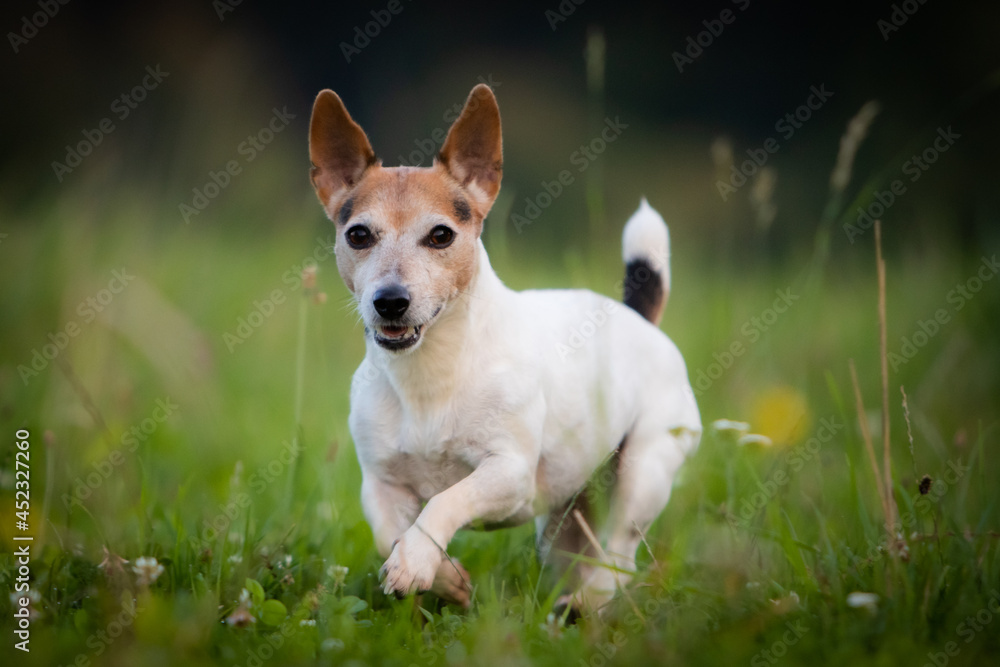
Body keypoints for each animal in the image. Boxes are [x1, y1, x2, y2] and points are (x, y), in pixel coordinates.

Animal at [308, 83, 700, 616]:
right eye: (359, 235)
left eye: (440, 235)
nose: (389, 301)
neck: (430, 371)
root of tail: (637, 316)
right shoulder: (382, 487)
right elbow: (391, 533)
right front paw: (442, 575)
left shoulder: (508, 474)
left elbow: (446, 500)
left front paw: (416, 561)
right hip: (564, 519)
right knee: (580, 553)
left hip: (644, 472)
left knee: (619, 554)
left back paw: (585, 604)